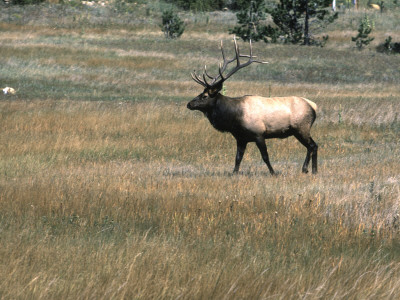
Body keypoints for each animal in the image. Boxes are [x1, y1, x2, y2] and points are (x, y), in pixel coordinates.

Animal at [188, 36, 318, 175]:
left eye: (205, 96)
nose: (189, 104)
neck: (234, 119)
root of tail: (313, 106)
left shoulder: (259, 134)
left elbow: (265, 156)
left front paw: (273, 173)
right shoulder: (241, 138)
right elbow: (238, 158)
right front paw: (234, 173)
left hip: (301, 127)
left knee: (312, 145)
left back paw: (306, 169)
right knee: (314, 145)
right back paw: (313, 170)